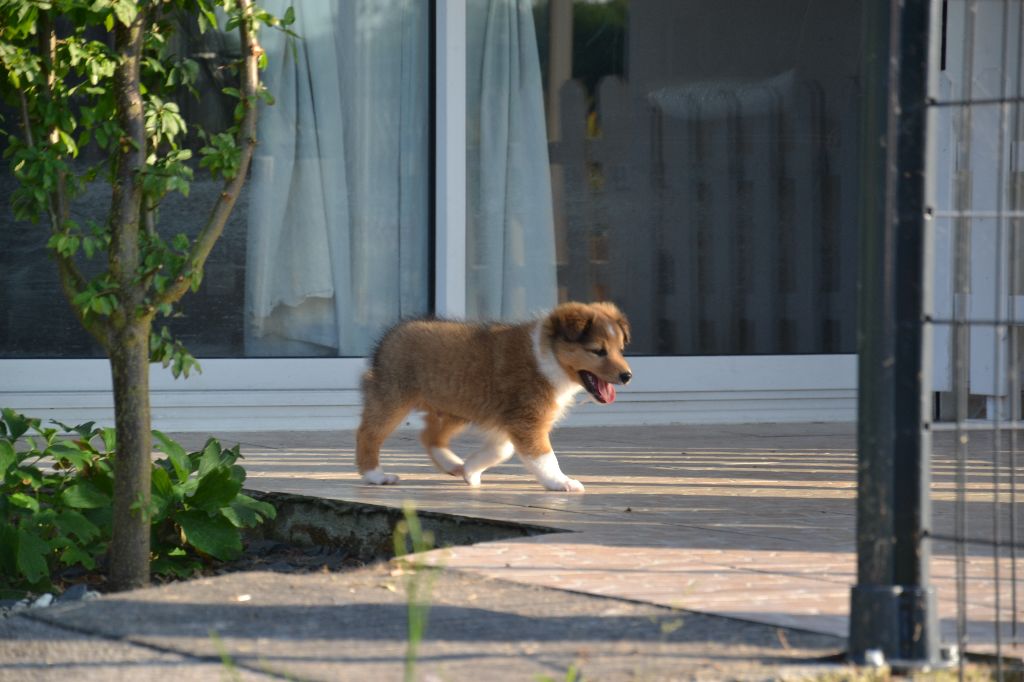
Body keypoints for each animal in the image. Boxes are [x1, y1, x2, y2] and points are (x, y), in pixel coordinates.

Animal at [355, 302, 632, 492]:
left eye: (620, 349)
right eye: (597, 351)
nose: (627, 376)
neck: (549, 357)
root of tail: (389, 337)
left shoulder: (511, 422)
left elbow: (502, 450)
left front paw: (471, 471)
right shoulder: (527, 421)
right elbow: (544, 457)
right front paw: (561, 482)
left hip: (456, 406)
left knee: (429, 436)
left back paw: (453, 464)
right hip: (393, 399)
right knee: (368, 434)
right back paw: (376, 476)